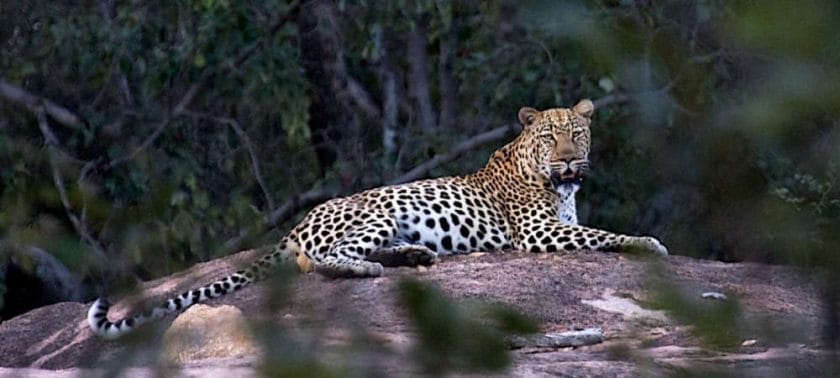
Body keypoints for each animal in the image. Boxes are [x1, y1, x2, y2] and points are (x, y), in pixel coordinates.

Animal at [83, 98, 664, 340]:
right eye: (549, 137)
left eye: (578, 135)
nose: (568, 161)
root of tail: (297, 223)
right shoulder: (539, 232)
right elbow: (602, 234)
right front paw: (648, 243)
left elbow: (595, 229)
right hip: (376, 211)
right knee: (321, 261)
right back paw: (372, 267)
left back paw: (413, 255)